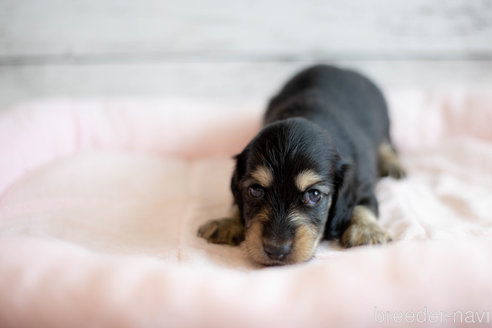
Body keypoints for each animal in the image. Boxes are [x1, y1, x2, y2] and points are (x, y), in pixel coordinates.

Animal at [198, 64, 406, 266]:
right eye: (256, 190)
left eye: (314, 194)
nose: (276, 250)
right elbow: (236, 203)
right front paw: (226, 222)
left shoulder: (362, 185)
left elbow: (363, 205)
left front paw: (366, 230)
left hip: (385, 124)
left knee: (387, 146)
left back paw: (393, 165)